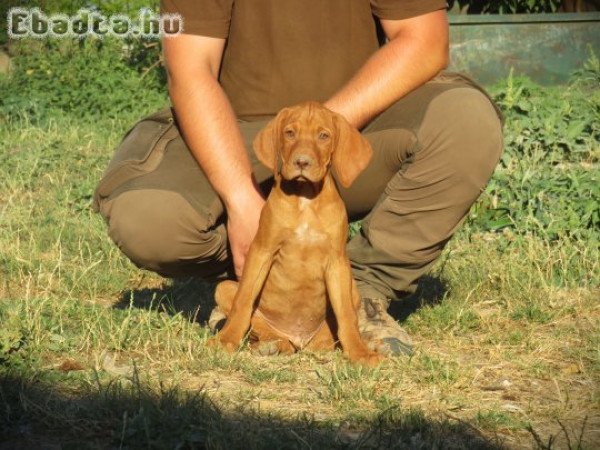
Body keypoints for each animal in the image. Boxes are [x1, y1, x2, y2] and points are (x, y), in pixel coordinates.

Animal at [209, 101, 382, 366]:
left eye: (324, 136)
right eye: (290, 133)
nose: (302, 162)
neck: (305, 198)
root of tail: (299, 338)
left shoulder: (337, 262)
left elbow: (346, 315)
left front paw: (359, 352)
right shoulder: (262, 250)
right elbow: (244, 300)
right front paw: (226, 340)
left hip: (352, 291)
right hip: (225, 289)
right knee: (260, 327)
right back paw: (271, 346)